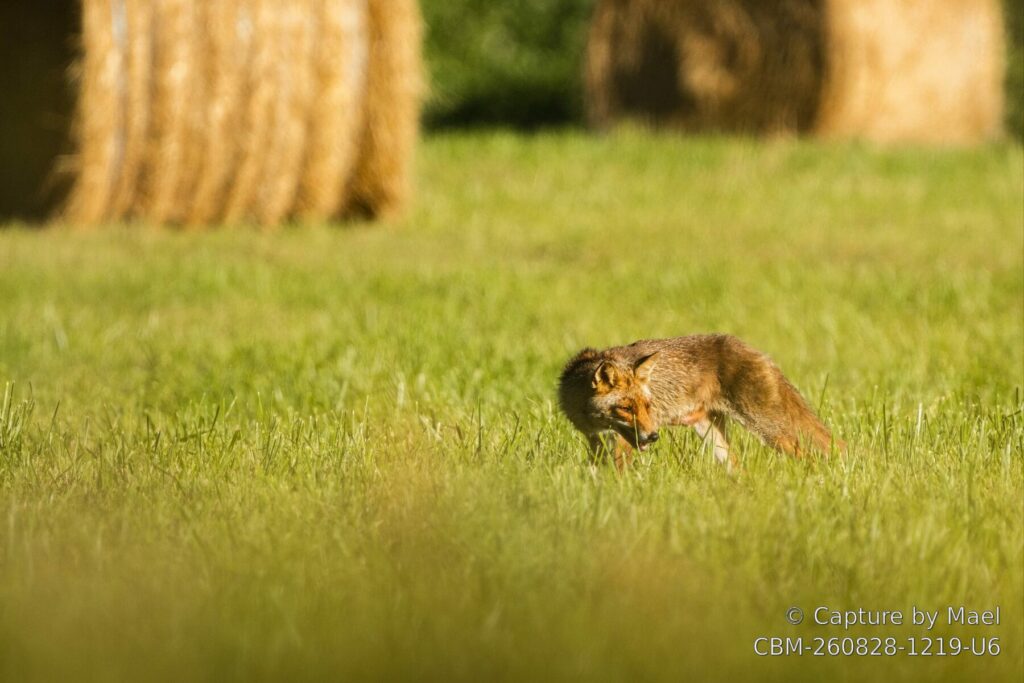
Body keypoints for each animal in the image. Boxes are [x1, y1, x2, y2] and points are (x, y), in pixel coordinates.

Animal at [558, 334, 843, 470]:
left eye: (648, 406)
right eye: (626, 408)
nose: (653, 436)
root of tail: (755, 350)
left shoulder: (622, 446)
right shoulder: (597, 440)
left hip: (771, 432)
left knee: (814, 455)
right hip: (715, 439)